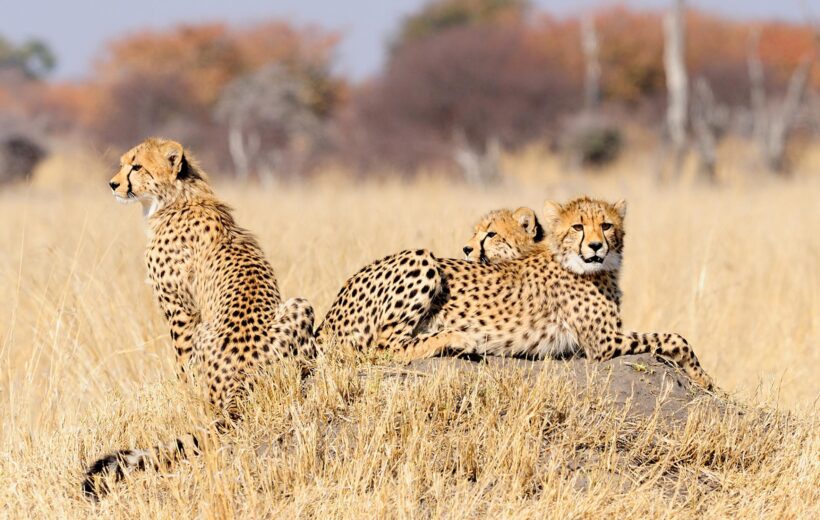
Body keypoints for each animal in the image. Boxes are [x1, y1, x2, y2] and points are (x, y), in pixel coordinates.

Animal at [81, 139, 316, 500]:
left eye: (136, 166)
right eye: (123, 164)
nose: (112, 184)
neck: (177, 197)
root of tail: (239, 387)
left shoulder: (181, 311)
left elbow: (182, 367)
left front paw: (183, 397)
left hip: (211, 329)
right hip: (300, 305)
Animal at [318, 197, 716, 388]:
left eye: (606, 225)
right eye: (578, 227)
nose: (596, 246)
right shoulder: (603, 343)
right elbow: (675, 337)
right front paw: (703, 378)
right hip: (421, 258)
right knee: (383, 347)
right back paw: (456, 338)